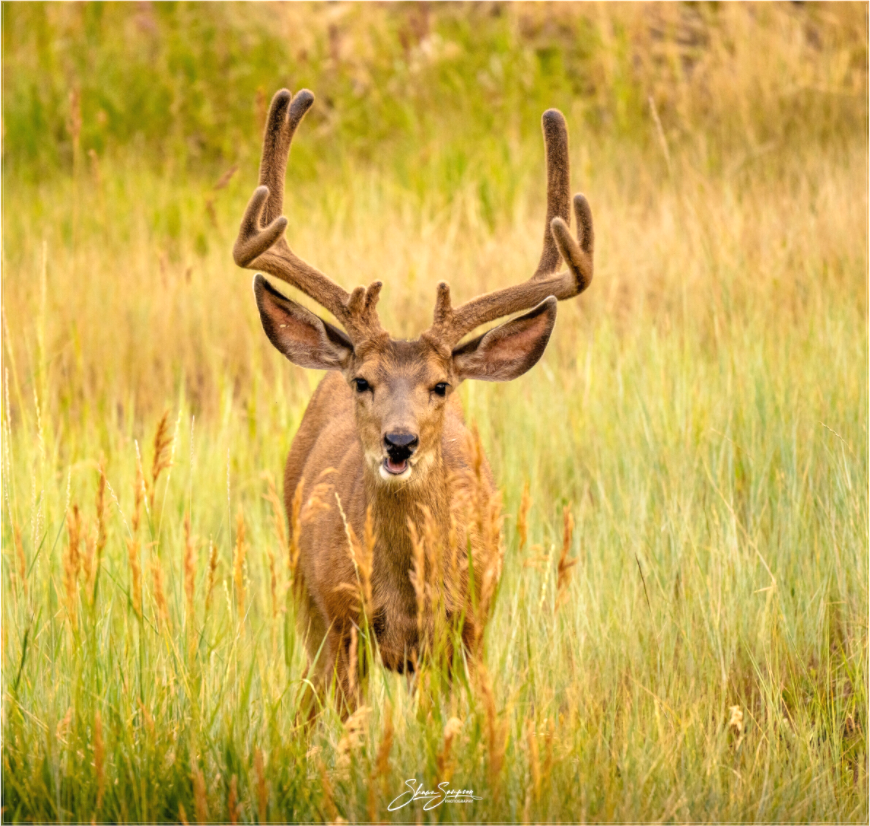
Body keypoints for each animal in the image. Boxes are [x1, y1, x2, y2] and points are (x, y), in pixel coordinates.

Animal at [233, 88, 594, 716]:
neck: (404, 597)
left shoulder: (468, 628)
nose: (399, 442)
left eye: (441, 385)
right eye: (363, 382)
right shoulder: (342, 621)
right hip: (303, 593)